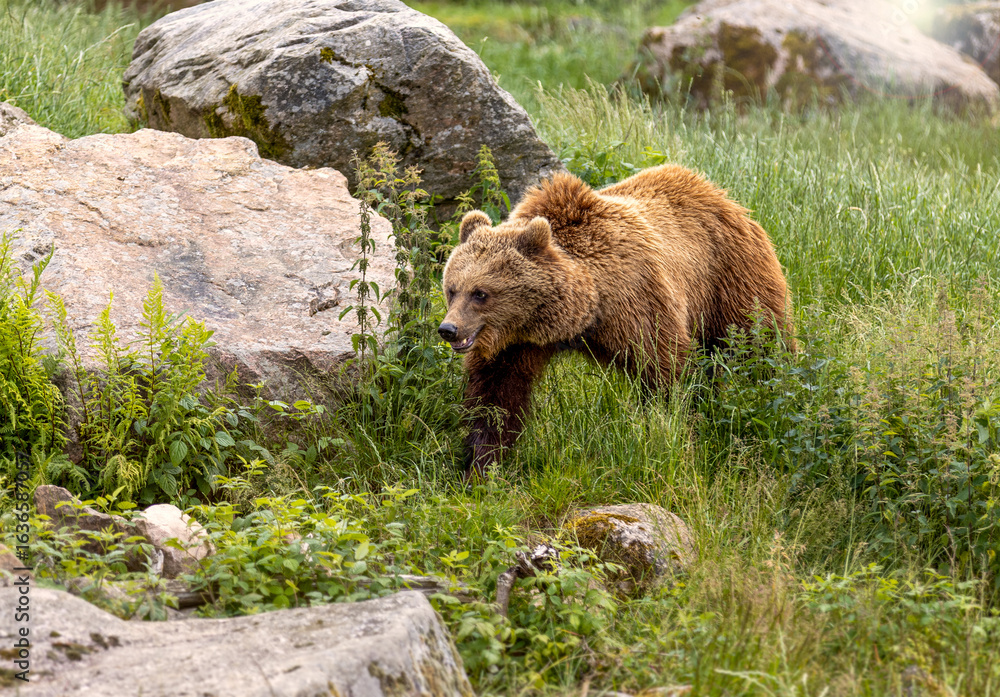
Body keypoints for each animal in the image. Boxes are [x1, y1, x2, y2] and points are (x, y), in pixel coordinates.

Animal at [438, 164, 794, 478]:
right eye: (452, 289)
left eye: (481, 293)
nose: (448, 329)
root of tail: (721, 195)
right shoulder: (516, 343)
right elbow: (495, 396)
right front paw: (481, 466)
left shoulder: (637, 304)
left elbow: (667, 371)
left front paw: (677, 429)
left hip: (731, 278)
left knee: (760, 345)